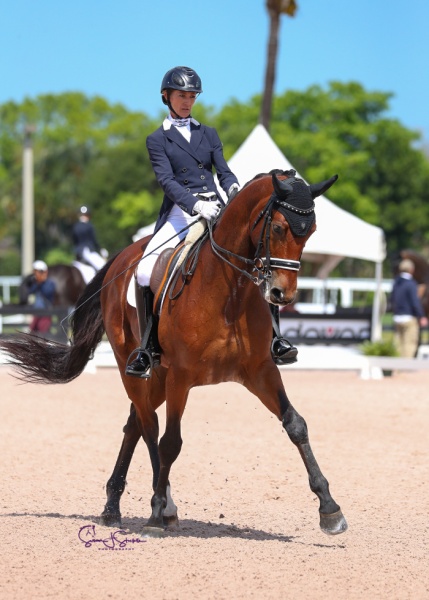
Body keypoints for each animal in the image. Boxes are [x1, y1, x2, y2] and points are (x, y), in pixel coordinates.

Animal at [0, 171, 346, 536]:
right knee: (149, 428)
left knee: (135, 424)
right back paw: (161, 506)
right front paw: (155, 513)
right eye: (278, 228)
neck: (229, 292)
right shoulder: (181, 376)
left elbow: (295, 424)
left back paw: (113, 507)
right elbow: (170, 442)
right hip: (134, 369)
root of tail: (122, 258)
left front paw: (329, 509)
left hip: (158, 377)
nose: (282, 294)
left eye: (311, 232)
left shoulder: (260, 371)